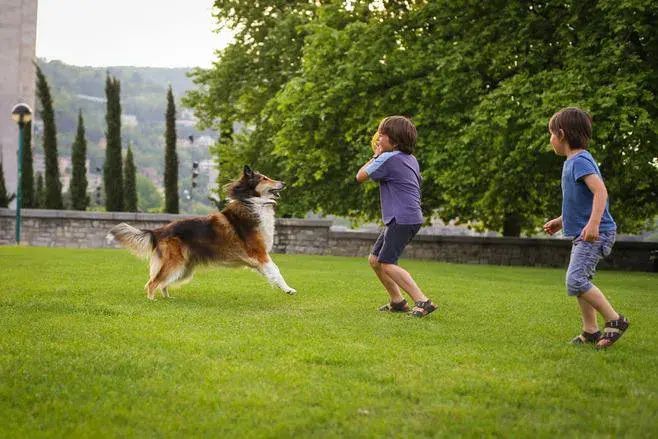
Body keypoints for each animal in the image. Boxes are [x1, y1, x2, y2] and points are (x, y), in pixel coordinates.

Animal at [106, 167, 296, 300]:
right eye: (264, 178)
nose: (284, 183)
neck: (252, 203)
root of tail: (158, 231)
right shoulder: (260, 254)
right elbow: (277, 271)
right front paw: (288, 289)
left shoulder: (259, 260)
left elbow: (273, 272)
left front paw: (283, 288)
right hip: (175, 264)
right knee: (152, 283)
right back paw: (153, 301)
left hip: (183, 269)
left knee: (161, 283)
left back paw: (168, 299)